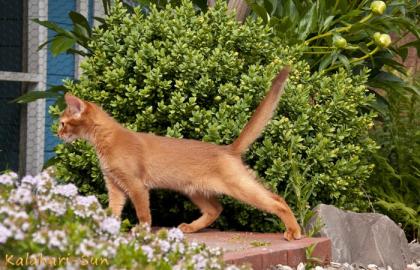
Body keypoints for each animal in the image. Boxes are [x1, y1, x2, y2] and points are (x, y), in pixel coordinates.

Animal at [58, 67, 302, 240]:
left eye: (62, 123)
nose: (57, 133)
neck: (107, 139)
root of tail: (227, 149)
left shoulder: (136, 186)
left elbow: (143, 213)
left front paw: (141, 231)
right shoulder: (115, 186)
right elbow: (113, 211)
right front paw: (105, 228)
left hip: (238, 186)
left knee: (277, 200)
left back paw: (294, 231)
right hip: (195, 190)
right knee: (216, 208)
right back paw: (191, 227)